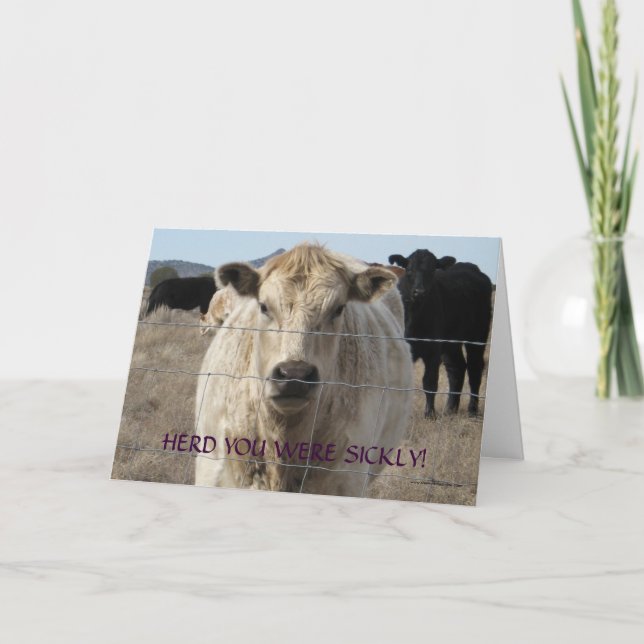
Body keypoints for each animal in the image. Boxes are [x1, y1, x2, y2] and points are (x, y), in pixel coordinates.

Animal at [388, 250, 492, 418]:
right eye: (409, 270)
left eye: (432, 271)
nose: (419, 292)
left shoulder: (433, 349)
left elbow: (429, 382)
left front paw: (430, 413)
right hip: (451, 343)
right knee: (456, 368)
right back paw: (450, 408)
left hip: (477, 336)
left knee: (474, 368)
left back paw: (472, 409)